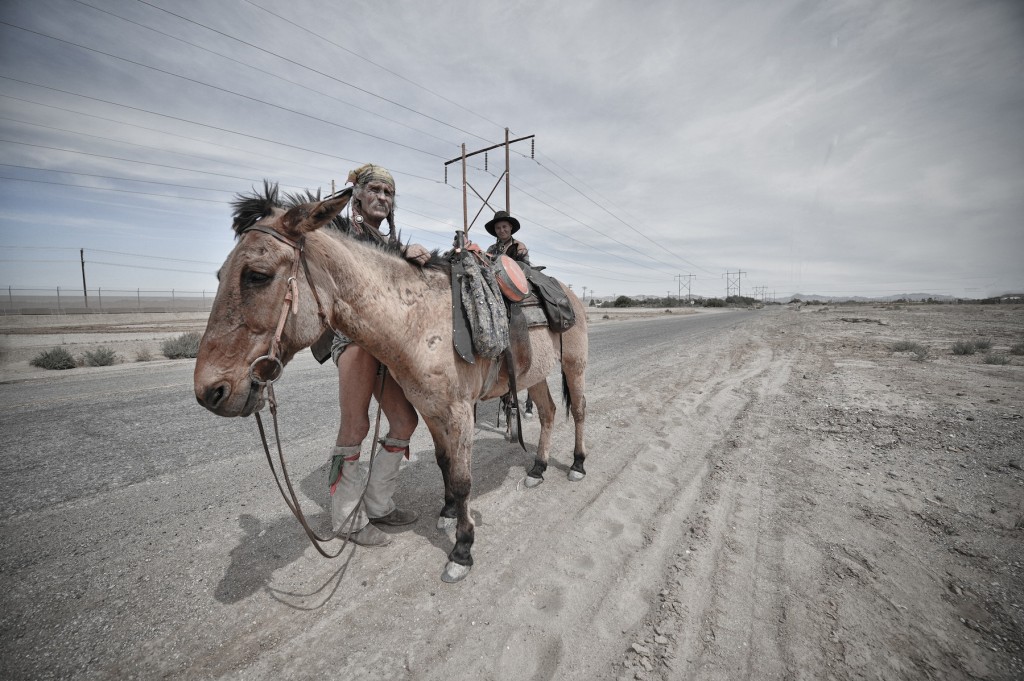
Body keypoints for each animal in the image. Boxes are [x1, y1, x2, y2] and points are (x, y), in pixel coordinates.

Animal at [194, 183, 589, 581]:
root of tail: (568, 291)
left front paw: (462, 550)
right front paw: (447, 514)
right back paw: (537, 469)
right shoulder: (429, 408)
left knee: (579, 411)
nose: (209, 391)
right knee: (549, 412)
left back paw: (577, 465)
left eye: (256, 275)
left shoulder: (460, 411)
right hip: (534, 374)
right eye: (220, 275)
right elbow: (445, 464)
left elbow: (463, 479)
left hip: (574, 365)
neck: (420, 323)